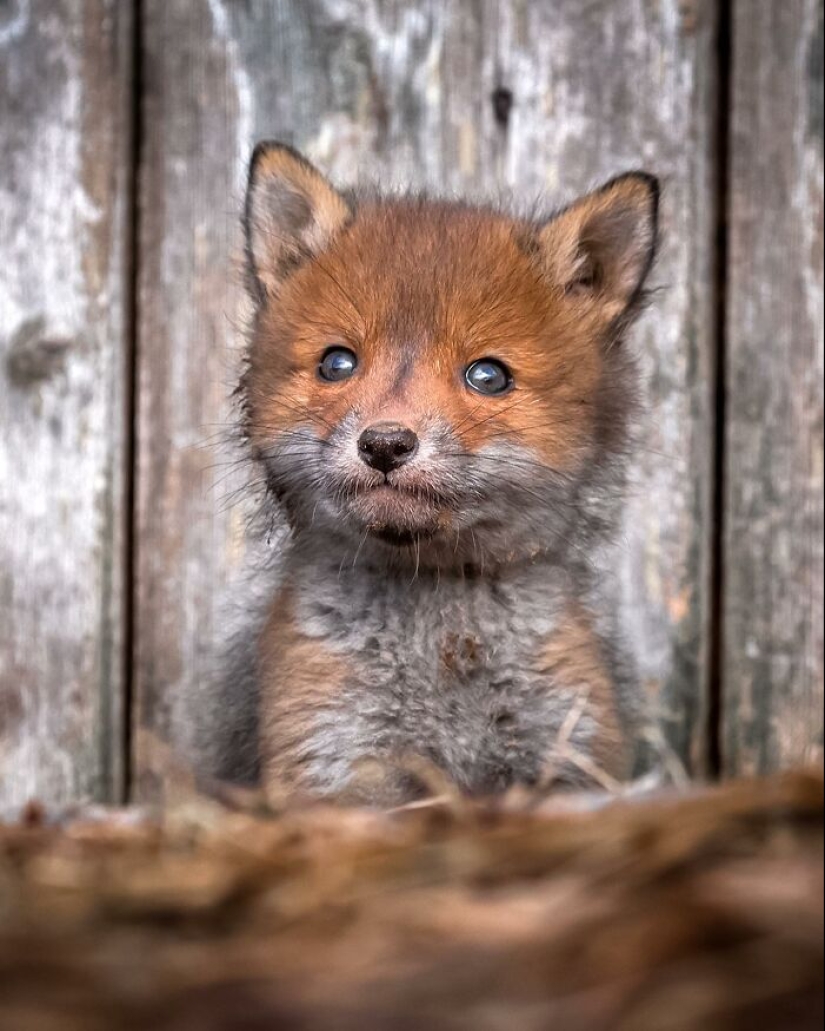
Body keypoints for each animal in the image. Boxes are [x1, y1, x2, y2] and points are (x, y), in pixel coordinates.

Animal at [203, 143, 660, 804]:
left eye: (487, 375)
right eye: (337, 363)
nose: (385, 444)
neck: (442, 646)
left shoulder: (568, 755)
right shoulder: (335, 763)